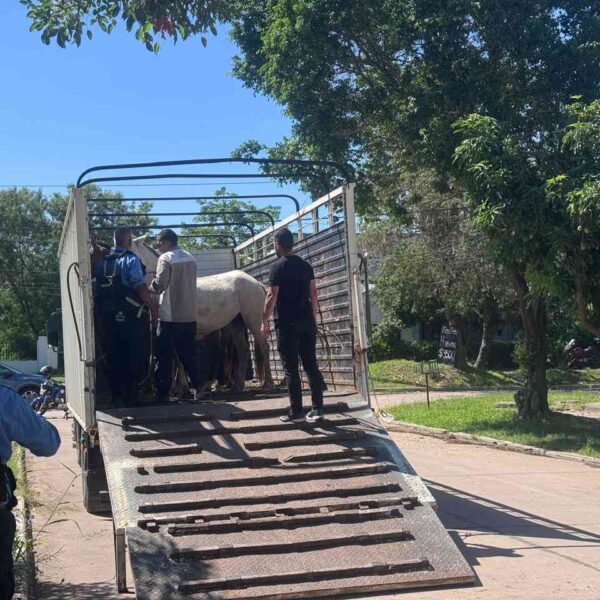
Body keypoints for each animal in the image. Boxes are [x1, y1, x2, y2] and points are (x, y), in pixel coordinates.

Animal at [130, 236, 273, 391]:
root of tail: (257, 283)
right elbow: (177, 358)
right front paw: (178, 386)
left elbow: (177, 358)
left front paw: (182, 386)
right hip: (236, 324)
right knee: (243, 351)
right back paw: (237, 385)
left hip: (253, 321)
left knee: (264, 347)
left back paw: (267, 383)